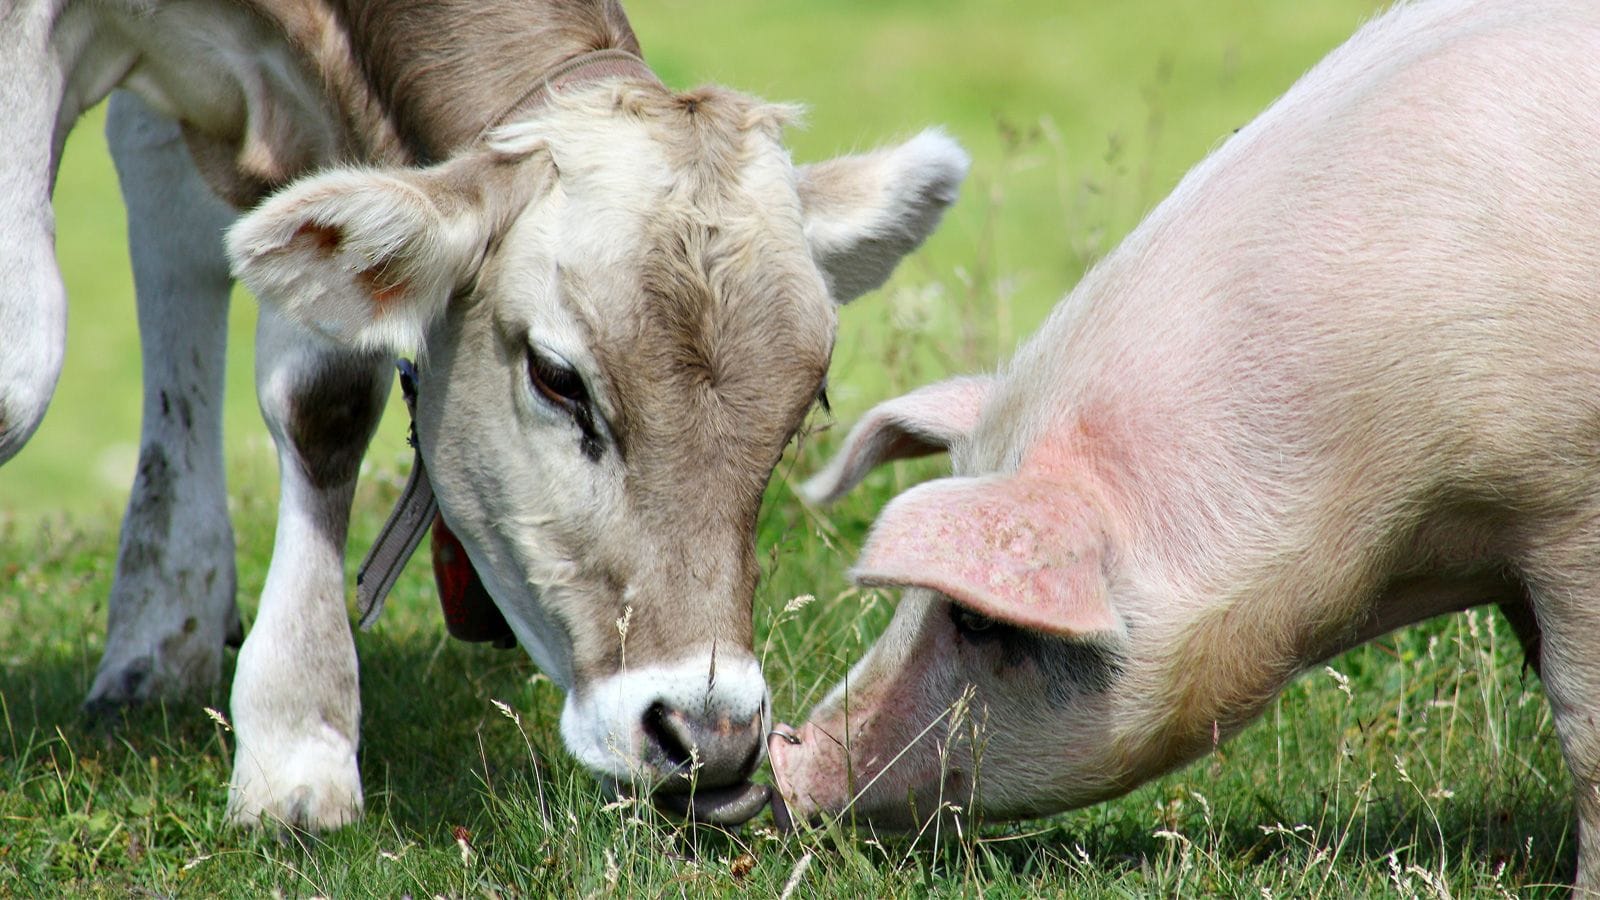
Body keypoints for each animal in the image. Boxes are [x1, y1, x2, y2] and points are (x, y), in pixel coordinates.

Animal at [0, 0, 966, 826]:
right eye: (558, 378)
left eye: (807, 406)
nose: (710, 735)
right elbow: (22, 378)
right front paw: (300, 746)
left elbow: (326, 394)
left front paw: (293, 740)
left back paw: (166, 625)